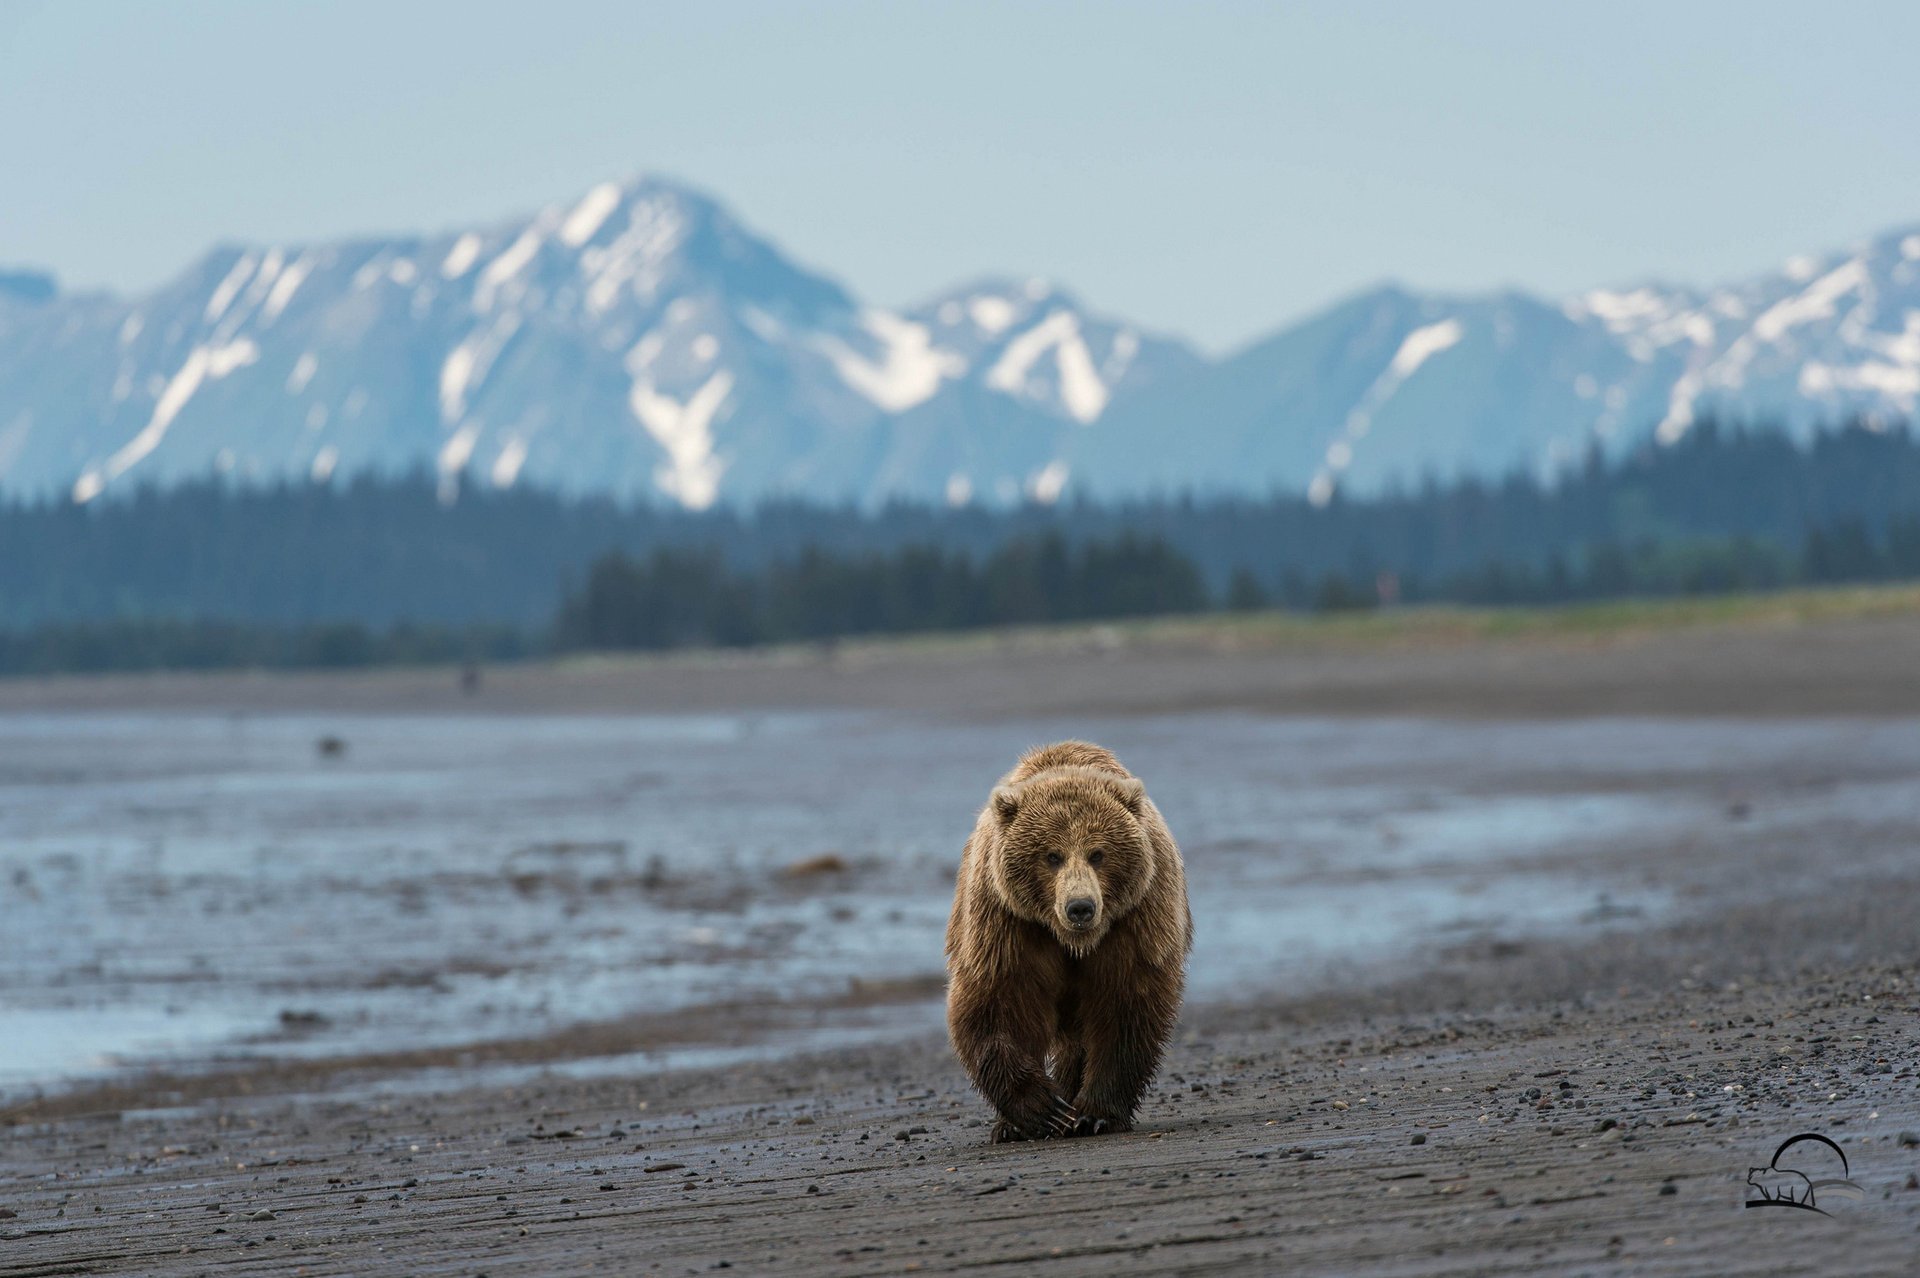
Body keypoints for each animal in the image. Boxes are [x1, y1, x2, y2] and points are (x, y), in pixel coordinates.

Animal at [945, 741, 1192, 1142]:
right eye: (1052, 855)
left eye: (1098, 853)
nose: (1080, 907)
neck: (1072, 941)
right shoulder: (1007, 922)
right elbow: (998, 1000)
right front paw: (1042, 1110)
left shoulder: (1134, 919)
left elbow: (1125, 1005)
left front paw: (1094, 1114)